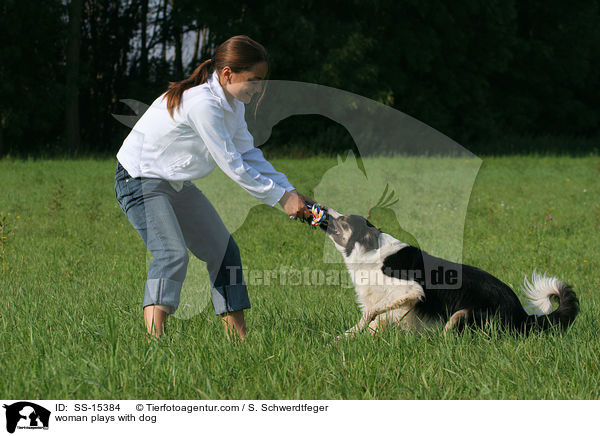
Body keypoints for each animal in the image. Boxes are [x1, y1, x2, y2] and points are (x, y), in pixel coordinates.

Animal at [322, 211, 580, 338]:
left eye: (343, 219)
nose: (323, 212)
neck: (370, 251)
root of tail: (522, 315)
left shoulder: (410, 290)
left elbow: (372, 313)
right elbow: (371, 322)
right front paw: (342, 340)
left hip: (463, 314)